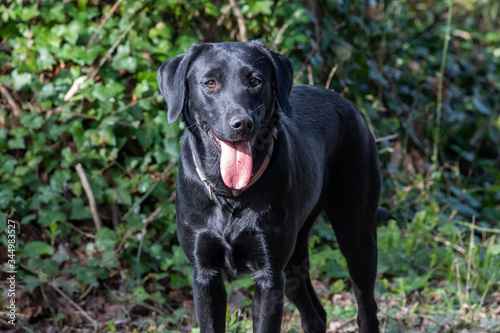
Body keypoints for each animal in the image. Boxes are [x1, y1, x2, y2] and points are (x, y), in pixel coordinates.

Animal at [158, 40, 388, 330]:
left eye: (255, 81)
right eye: (210, 83)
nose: (242, 124)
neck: (230, 195)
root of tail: (348, 104)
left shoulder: (269, 276)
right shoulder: (205, 275)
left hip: (356, 236)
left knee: (366, 308)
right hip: (293, 259)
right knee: (315, 315)